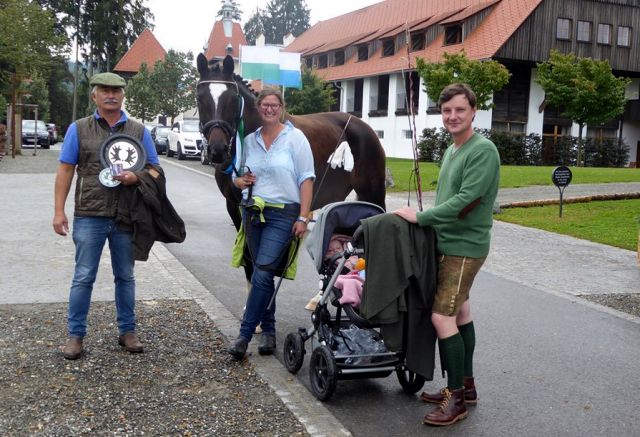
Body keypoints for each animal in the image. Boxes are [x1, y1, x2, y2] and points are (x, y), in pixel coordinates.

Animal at [195, 52, 384, 282]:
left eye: (232, 99)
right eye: (200, 98)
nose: (217, 149)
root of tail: (364, 127)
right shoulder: (234, 206)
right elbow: (249, 259)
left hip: (373, 194)